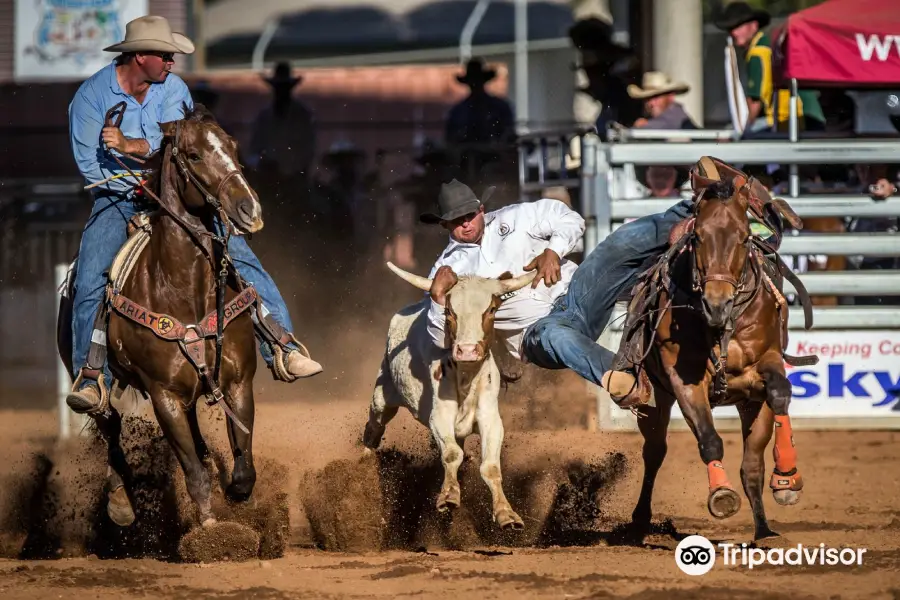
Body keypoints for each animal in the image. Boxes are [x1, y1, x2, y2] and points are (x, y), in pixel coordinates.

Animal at [57, 104, 264, 536]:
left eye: (233, 147)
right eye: (195, 155)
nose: (249, 210)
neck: (185, 289)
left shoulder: (238, 383)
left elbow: (243, 470)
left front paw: (236, 496)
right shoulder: (163, 395)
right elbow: (193, 475)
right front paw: (211, 531)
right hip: (87, 374)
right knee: (109, 423)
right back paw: (120, 502)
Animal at [620, 157, 816, 540]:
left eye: (743, 237)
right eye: (698, 236)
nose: (717, 303)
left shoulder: (766, 364)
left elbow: (780, 393)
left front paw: (786, 478)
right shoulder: (684, 382)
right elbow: (709, 440)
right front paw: (721, 493)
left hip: (749, 401)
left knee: (752, 463)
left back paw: (764, 529)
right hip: (657, 398)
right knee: (655, 451)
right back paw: (639, 520)